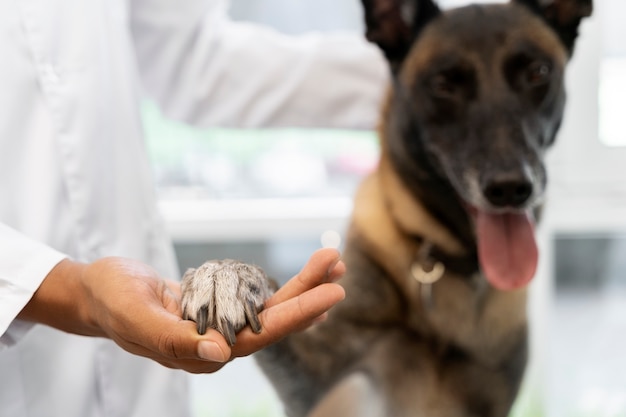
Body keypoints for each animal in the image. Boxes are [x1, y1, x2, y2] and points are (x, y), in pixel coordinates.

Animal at [179, 0, 588, 416]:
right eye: (443, 85)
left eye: (538, 73)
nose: (510, 189)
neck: (446, 259)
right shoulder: (316, 383)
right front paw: (226, 276)